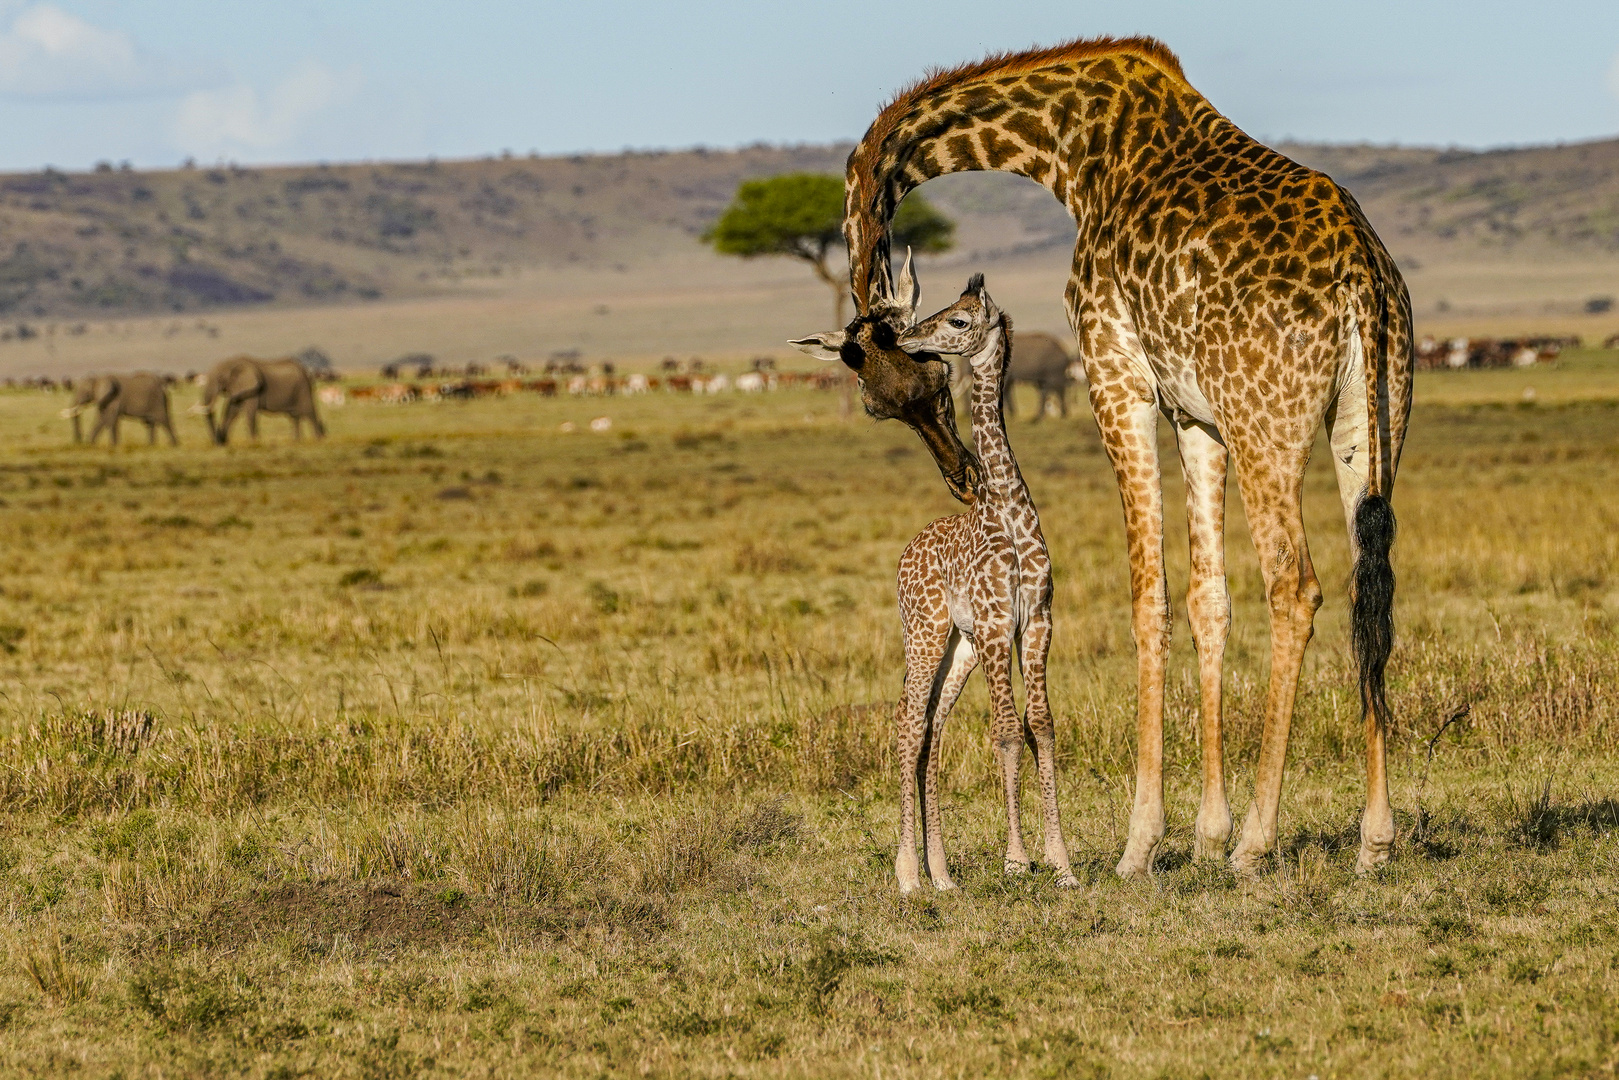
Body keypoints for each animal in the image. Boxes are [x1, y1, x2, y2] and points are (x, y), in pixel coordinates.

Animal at [194, 356, 323, 446]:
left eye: (219, 379)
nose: (218, 442)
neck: (234, 362)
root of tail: (307, 372)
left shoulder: (253, 390)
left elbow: (249, 413)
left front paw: (254, 441)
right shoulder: (239, 389)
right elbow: (232, 411)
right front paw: (225, 441)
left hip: (303, 388)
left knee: (309, 412)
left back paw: (318, 439)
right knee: (295, 417)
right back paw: (296, 440)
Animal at [887, 276, 1075, 893]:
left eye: (960, 321)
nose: (905, 336)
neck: (1007, 512)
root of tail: (907, 552)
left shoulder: (1035, 622)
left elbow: (1040, 725)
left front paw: (1061, 862)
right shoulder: (996, 624)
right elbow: (1006, 731)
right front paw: (1018, 860)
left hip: (959, 647)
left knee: (932, 730)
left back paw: (942, 875)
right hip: (925, 633)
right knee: (907, 723)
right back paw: (908, 874)